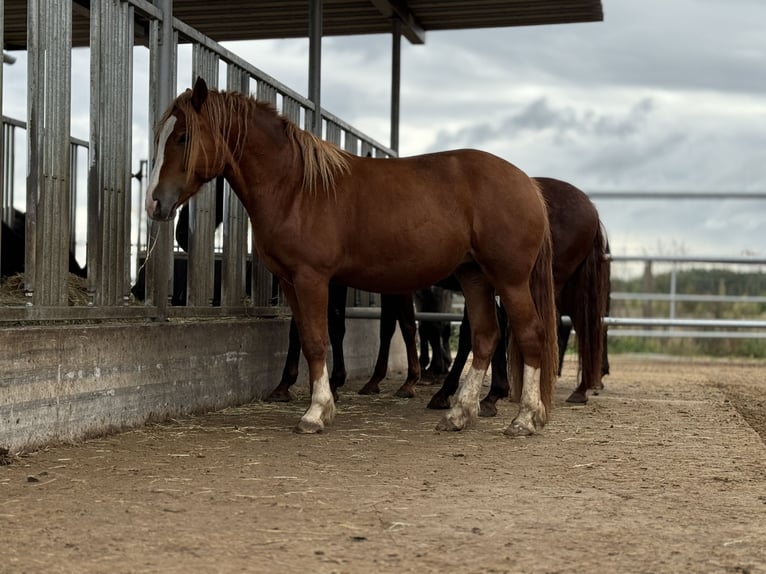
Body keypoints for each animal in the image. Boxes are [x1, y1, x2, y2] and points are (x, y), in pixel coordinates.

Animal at [147, 76, 560, 436]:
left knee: (530, 333)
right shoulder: (290, 281)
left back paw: (524, 419)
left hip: (509, 280)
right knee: (486, 337)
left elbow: (317, 339)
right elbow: (306, 337)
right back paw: (458, 414)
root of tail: (528, 184)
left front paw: (315, 413)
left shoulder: (312, 278)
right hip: (474, 276)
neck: (295, 187)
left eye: (183, 137)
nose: (154, 204)